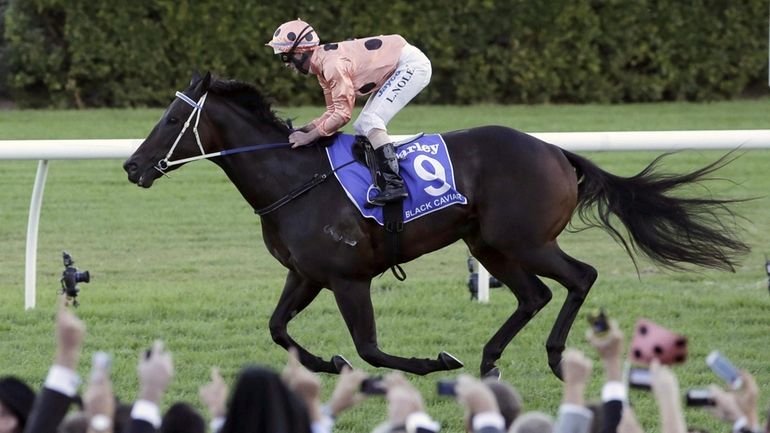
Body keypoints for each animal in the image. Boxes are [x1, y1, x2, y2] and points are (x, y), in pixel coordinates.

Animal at [124, 73, 744, 378]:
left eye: (174, 119)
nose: (132, 166)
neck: (294, 179)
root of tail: (556, 151)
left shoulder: (348, 279)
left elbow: (371, 349)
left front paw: (431, 362)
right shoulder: (305, 275)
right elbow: (278, 330)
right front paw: (326, 362)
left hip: (525, 239)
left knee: (580, 277)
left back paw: (549, 356)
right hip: (489, 244)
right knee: (535, 294)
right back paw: (491, 360)